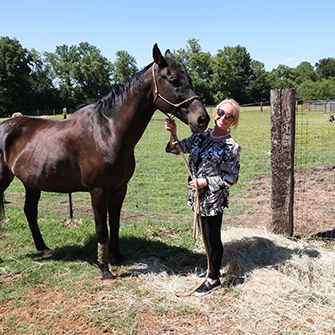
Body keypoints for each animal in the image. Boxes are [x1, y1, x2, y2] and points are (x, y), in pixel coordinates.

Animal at [0, 44, 210, 280]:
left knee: (30, 211)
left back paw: (44, 249)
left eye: (188, 78)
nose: (202, 119)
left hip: (32, 184)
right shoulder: (98, 191)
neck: (107, 132)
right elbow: (102, 228)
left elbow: (115, 223)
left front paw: (118, 256)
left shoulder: (119, 189)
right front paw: (104, 268)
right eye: (173, 80)